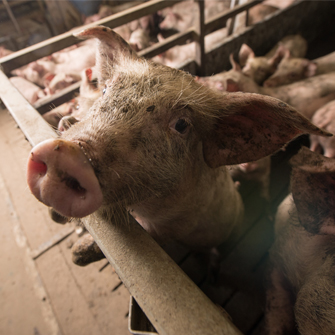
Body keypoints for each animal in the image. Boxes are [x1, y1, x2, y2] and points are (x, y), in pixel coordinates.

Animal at [25, 26, 330, 270]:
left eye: (181, 125)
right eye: (105, 90)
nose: (68, 153)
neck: (144, 205)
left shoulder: (176, 225)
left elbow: (152, 237)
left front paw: (78, 253)